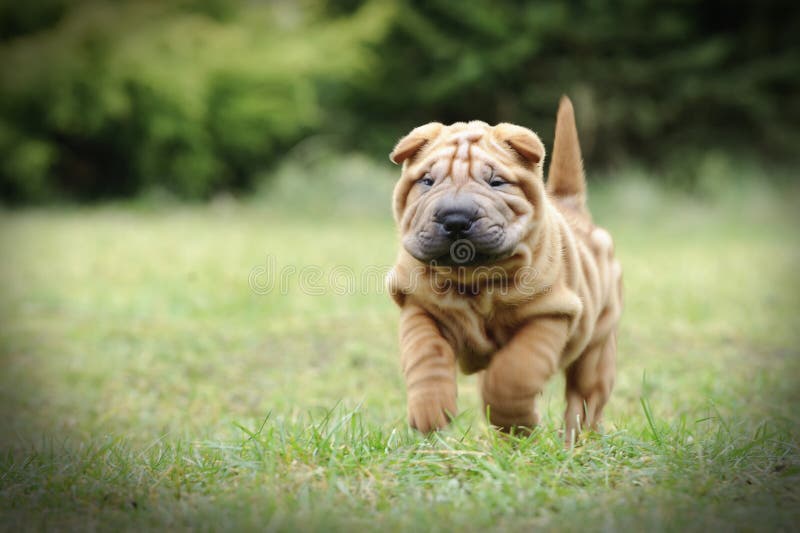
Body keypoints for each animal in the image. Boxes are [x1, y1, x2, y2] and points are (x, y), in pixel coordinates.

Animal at [384, 95, 620, 440]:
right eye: (427, 182)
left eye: (496, 182)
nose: (456, 218)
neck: (474, 280)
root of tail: (573, 208)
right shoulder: (419, 305)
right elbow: (426, 353)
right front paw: (430, 411)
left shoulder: (550, 313)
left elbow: (514, 373)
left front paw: (517, 423)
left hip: (597, 347)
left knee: (585, 399)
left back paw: (576, 442)